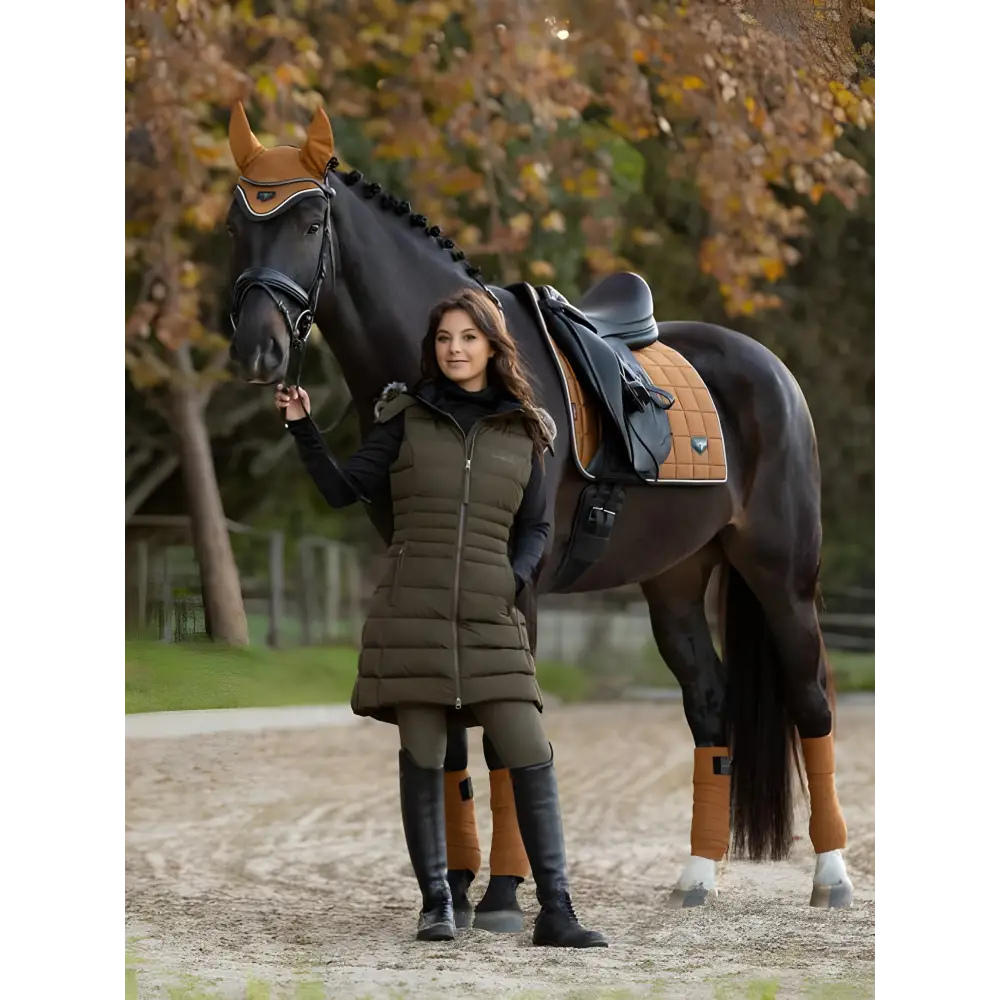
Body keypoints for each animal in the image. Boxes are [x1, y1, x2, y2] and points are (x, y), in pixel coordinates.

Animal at [223, 103, 856, 916]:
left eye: (309, 223)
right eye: (237, 226)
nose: (258, 353)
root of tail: (770, 369)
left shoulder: (514, 587)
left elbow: (504, 733)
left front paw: (500, 895)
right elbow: (450, 736)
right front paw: (456, 891)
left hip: (781, 576)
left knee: (813, 702)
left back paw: (832, 876)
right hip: (677, 582)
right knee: (710, 704)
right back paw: (697, 877)